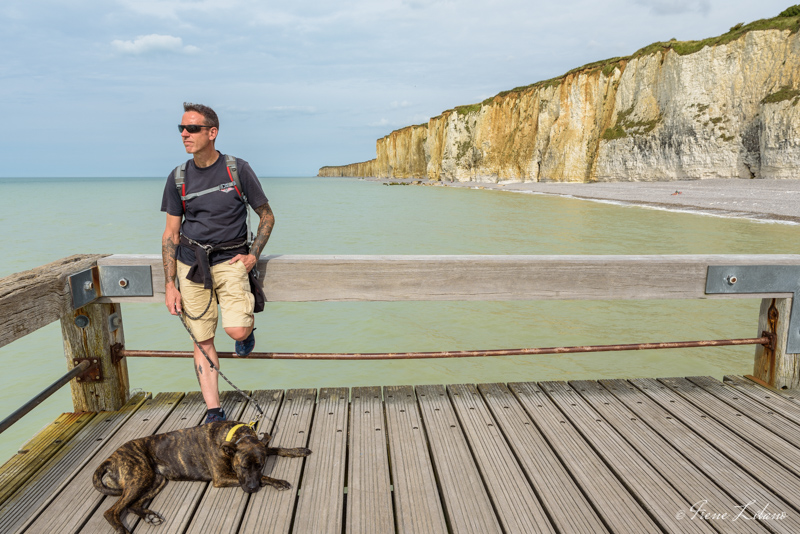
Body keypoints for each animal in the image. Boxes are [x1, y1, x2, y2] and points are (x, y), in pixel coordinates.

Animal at [90, 422, 310, 534]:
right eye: (243, 467)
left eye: (260, 464)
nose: (253, 488)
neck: (232, 436)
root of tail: (111, 457)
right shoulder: (221, 477)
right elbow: (265, 476)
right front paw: (278, 481)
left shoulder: (260, 451)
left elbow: (275, 448)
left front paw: (298, 450)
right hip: (140, 476)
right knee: (112, 511)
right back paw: (124, 529)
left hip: (155, 480)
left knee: (132, 505)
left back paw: (149, 516)